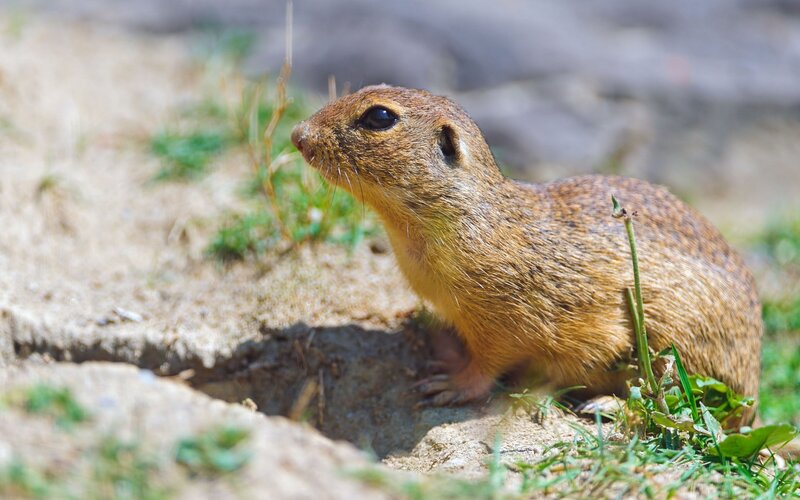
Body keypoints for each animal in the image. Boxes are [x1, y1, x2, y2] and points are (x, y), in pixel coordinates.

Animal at [291, 85, 763, 426]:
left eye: (380, 117)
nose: (298, 134)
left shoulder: (510, 325)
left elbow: (487, 366)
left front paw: (448, 385)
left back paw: (605, 406)